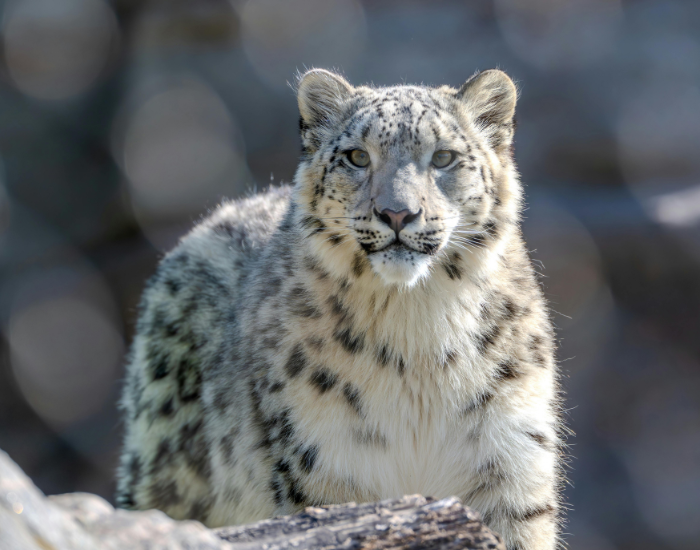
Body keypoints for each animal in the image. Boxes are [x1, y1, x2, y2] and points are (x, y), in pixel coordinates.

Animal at [116, 68, 566, 550]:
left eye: (444, 157)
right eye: (357, 156)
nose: (397, 213)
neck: (418, 330)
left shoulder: (510, 454)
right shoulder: (325, 458)